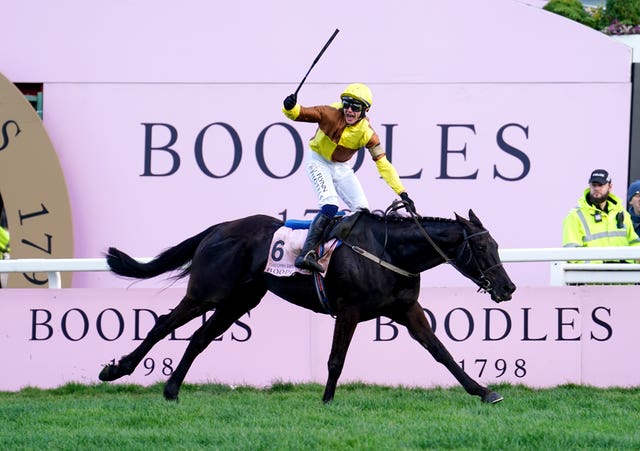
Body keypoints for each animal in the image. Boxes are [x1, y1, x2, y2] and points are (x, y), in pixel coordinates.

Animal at [101, 203, 520, 404]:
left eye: (497, 245)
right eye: (483, 248)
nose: (507, 288)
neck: (389, 251)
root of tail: (218, 228)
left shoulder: (406, 310)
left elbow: (442, 352)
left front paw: (484, 391)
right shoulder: (349, 310)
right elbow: (336, 359)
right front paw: (328, 400)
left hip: (238, 301)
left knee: (199, 338)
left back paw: (172, 390)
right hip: (208, 292)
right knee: (162, 325)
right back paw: (116, 370)